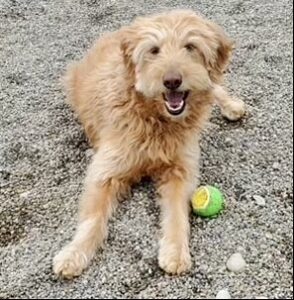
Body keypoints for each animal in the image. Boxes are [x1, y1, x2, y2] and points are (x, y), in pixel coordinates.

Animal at [52, 9, 246, 278]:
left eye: (190, 46)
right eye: (154, 50)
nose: (172, 81)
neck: (156, 119)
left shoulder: (181, 169)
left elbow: (176, 213)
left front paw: (175, 252)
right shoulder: (105, 169)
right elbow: (93, 218)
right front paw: (74, 253)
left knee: (213, 85)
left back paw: (232, 106)